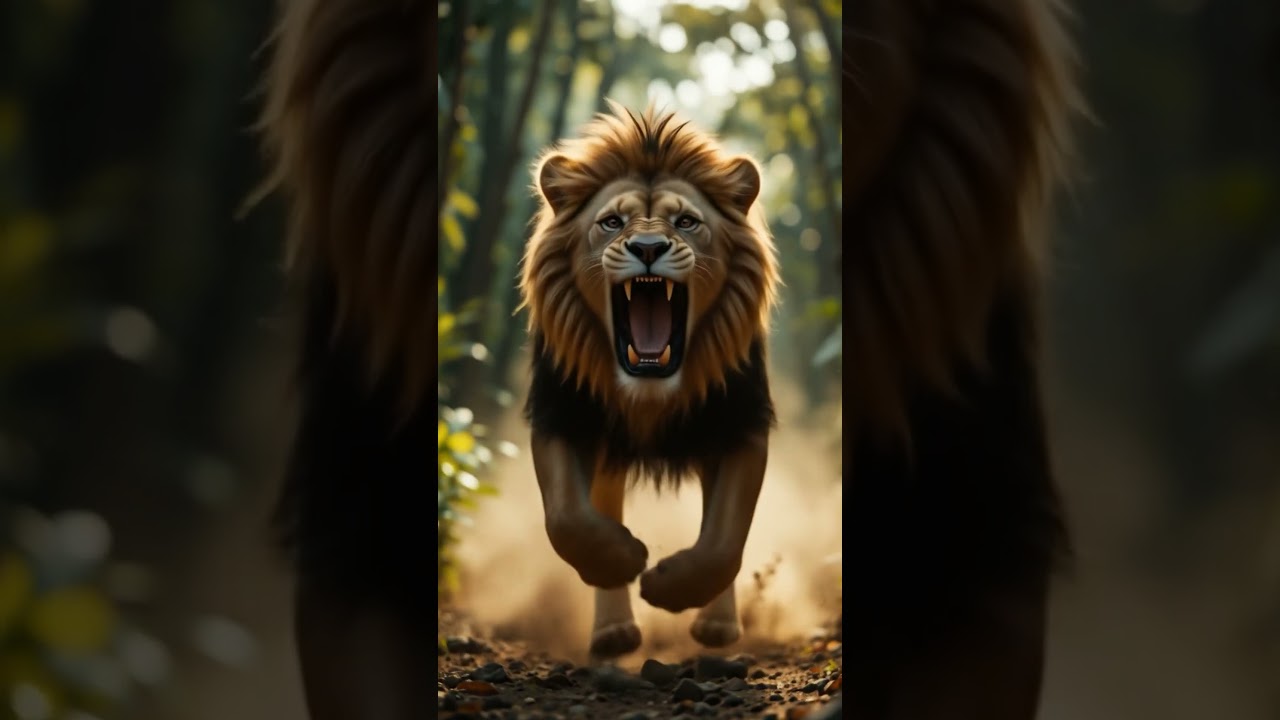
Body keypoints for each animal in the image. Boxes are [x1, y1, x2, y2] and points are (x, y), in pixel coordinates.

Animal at [517, 103, 781, 657]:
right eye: (612, 222)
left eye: (686, 221)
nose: (647, 246)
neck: (650, 390)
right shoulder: (561, 414)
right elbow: (567, 519)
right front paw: (624, 560)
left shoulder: (741, 421)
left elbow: (724, 538)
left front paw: (670, 589)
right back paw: (613, 630)